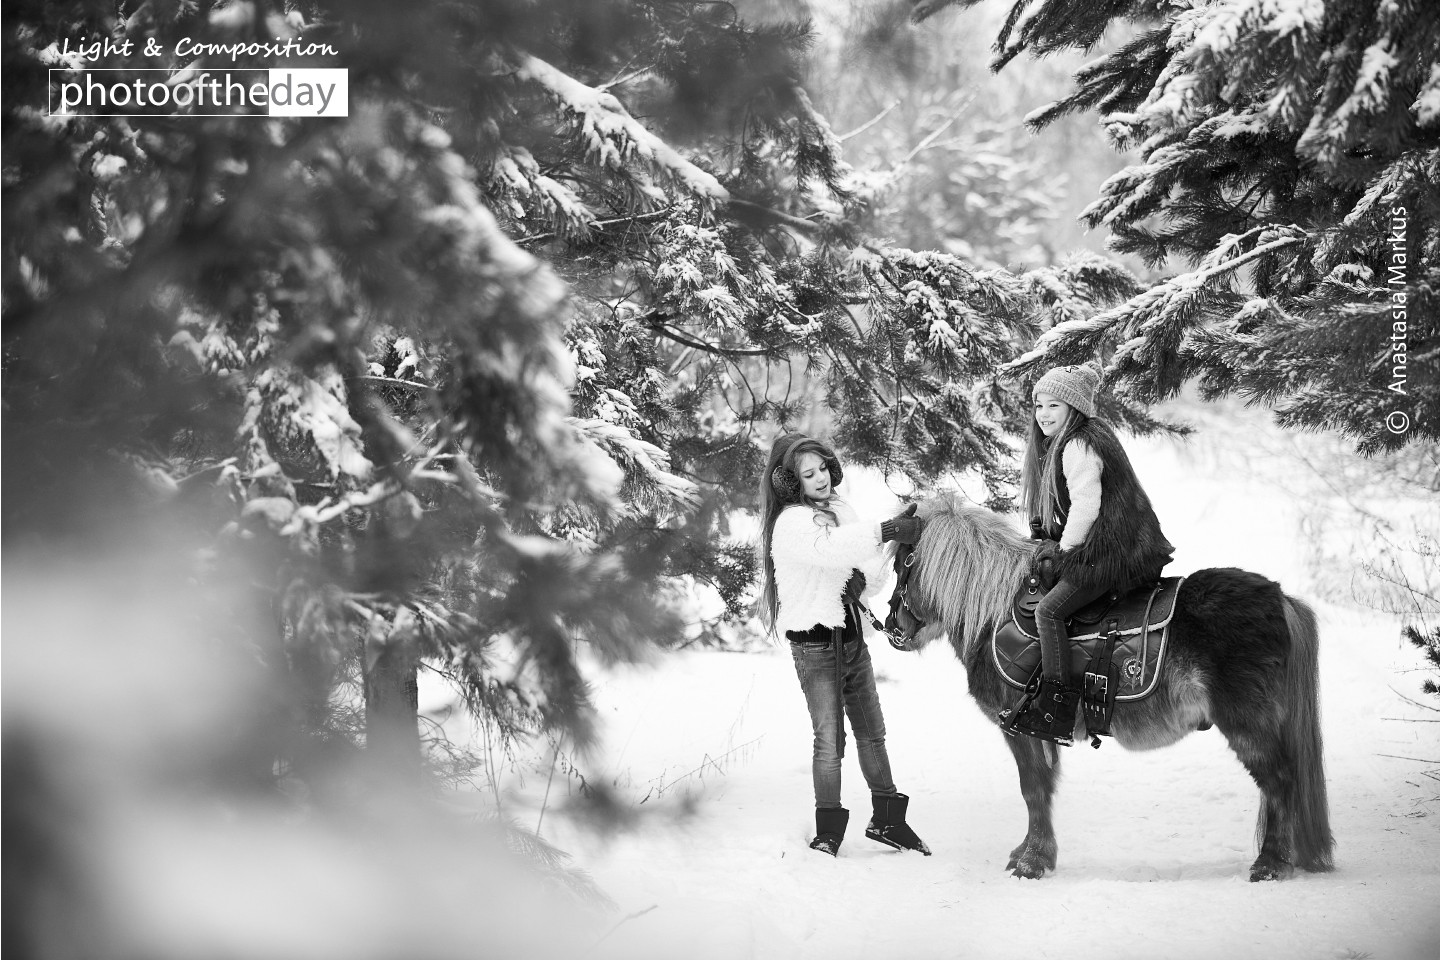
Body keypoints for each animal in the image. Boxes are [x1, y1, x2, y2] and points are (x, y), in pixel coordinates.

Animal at [892, 500, 1330, 880]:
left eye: (902, 565)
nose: (893, 627)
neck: (994, 614)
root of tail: (1281, 599)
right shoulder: (1037, 731)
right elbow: (1043, 789)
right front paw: (1032, 853)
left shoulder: (1019, 727)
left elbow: (1032, 789)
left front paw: (1031, 862)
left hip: (1248, 724)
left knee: (1279, 782)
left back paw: (1271, 864)